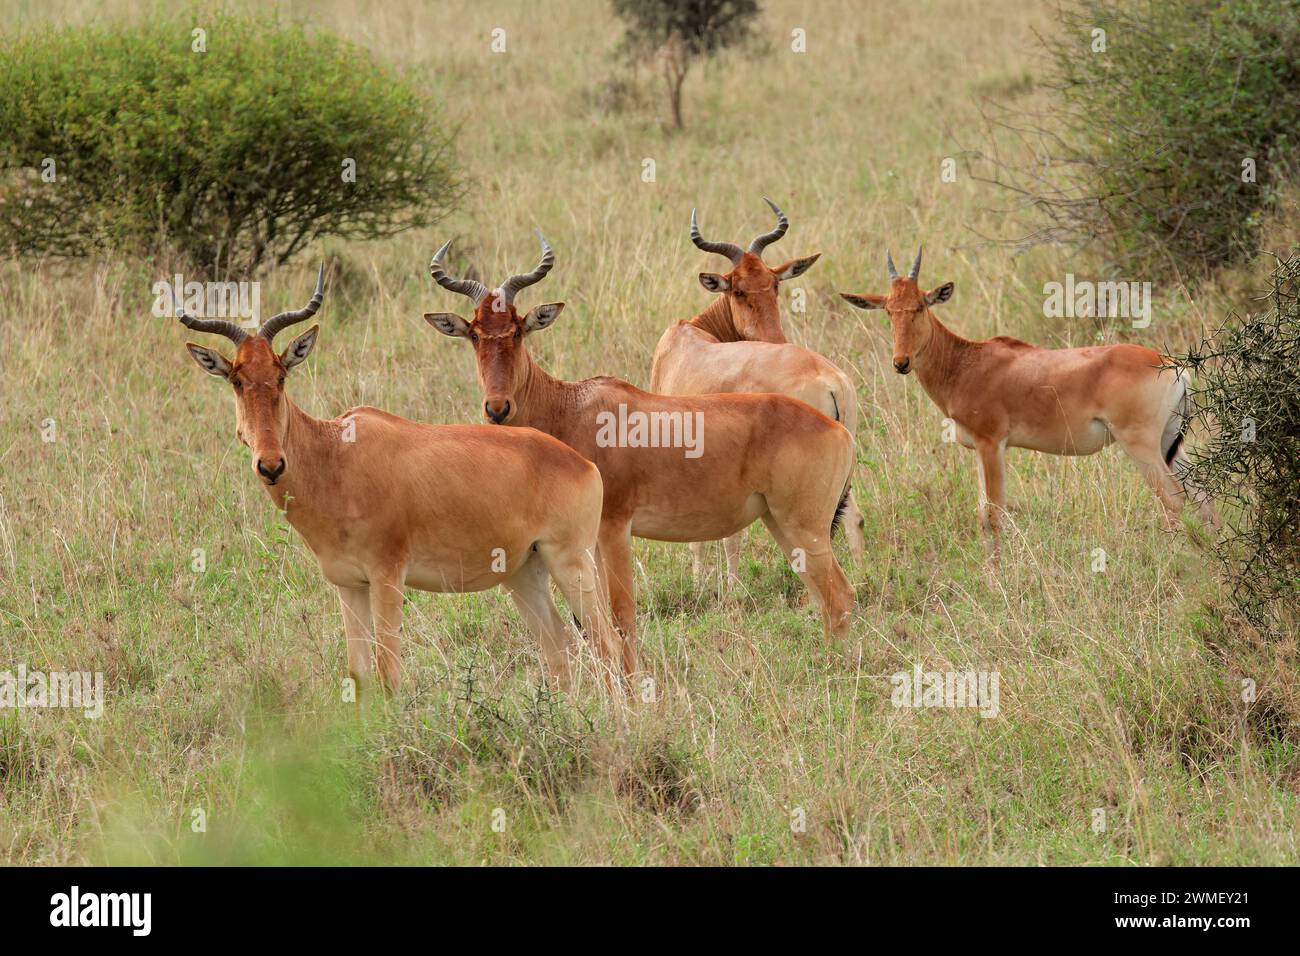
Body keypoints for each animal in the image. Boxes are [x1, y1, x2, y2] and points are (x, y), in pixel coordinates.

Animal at [180, 267, 626, 697]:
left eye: (280, 375)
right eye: (236, 379)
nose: (270, 464)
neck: (335, 453)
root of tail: (582, 463)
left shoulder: (387, 576)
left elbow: (388, 673)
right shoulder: (349, 584)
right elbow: (359, 675)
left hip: (570, 559)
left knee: (608, 643)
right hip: (524, 571)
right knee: (558, 646)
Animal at [421, 231, 857, 658]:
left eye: (517, 330)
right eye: (474, 333)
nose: (497, 408)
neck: (571, 406)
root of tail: (836, 411)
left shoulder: (614, 528)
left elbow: (621, 619)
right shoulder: (591, 541)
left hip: (803, 523)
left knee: (839, 595)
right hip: (778, 520)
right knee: (824, 595)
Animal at [650, 197, 873, 582]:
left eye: (774, 284)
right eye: (738, 289)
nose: (776, 341)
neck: (687, 337)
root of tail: (832, 381)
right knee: (853, 518)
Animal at [842, 248, 1216, 561]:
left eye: (921, 305)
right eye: (889, 309)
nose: (901, 362)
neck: (967, 361)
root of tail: (1171, 365)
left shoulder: (992, 444)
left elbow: (994, 513)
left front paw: (996, 578)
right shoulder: (980, 449)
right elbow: (982, 512)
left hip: (1140, 444)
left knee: (1172, 497)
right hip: (1169, 442)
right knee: (1200, 494)